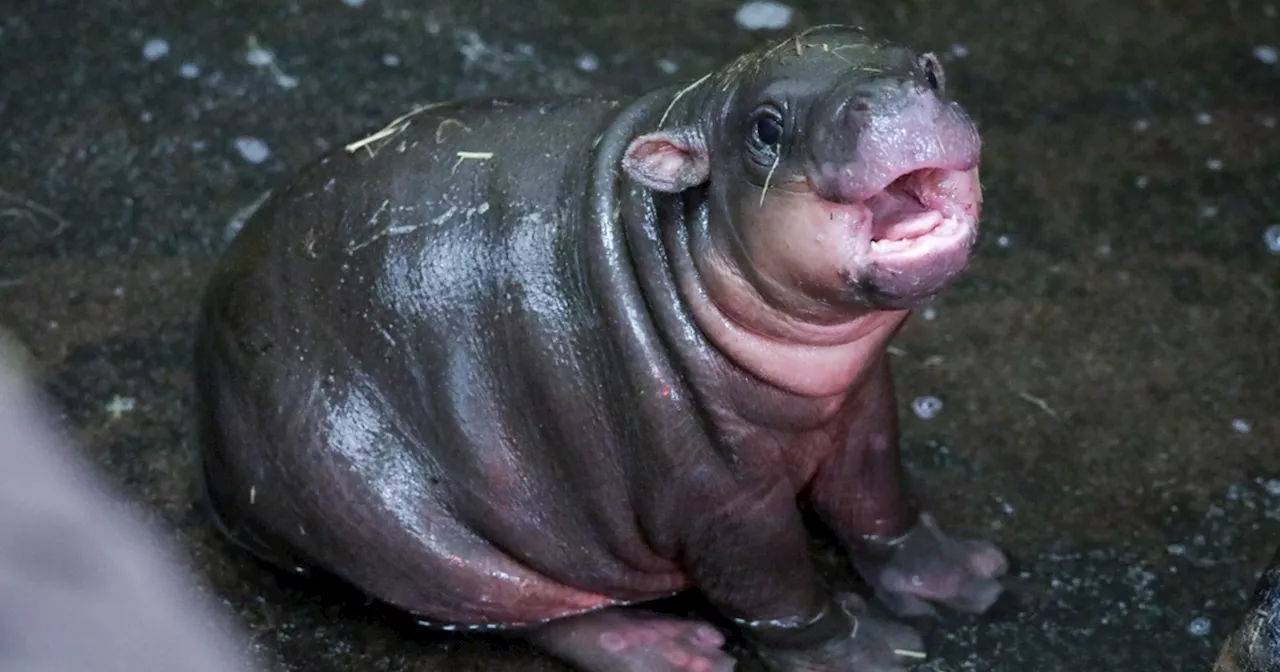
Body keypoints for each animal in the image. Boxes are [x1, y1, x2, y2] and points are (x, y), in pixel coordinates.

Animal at [194, 23, 1003, 665]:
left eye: (929, 70)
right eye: (766, 129)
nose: (896, 102)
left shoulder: (865, 408)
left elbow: (880, 502)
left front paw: (969, 577)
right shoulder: (722, 491)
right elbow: (775, 586)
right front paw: (869, 649)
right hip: (384, 511)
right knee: (522, 610)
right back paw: (671, 651)